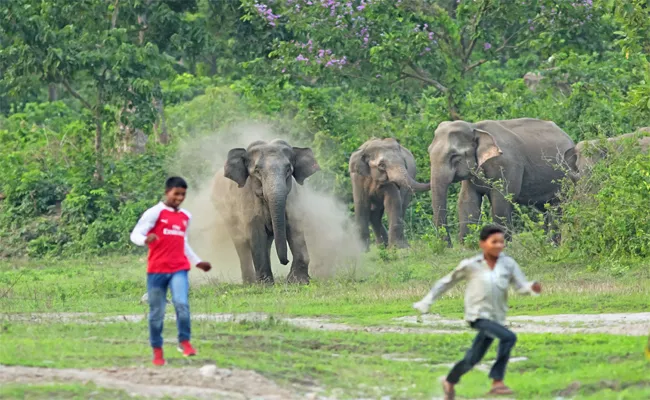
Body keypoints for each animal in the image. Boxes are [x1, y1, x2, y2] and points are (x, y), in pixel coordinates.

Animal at [211, 139, 320, 282]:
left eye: (288, 170)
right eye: (257, 171)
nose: (285, 261)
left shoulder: (292, 199)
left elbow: (294, 228)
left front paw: (298, 281)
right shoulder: (247, 201)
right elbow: (257, 234)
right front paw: (266, 284)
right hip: (226, 214)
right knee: (241, 244)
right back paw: (250, 282)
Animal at [428, 117, 576, 245]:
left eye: (454, 156)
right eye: (429, 151)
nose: (448, 246)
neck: (475, 127)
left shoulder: (507, 164)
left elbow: (501, 200)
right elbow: (467, 201)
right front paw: (467, 247)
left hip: (565, 178)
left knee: (557, 207)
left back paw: (553, 244)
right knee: (546, 208)